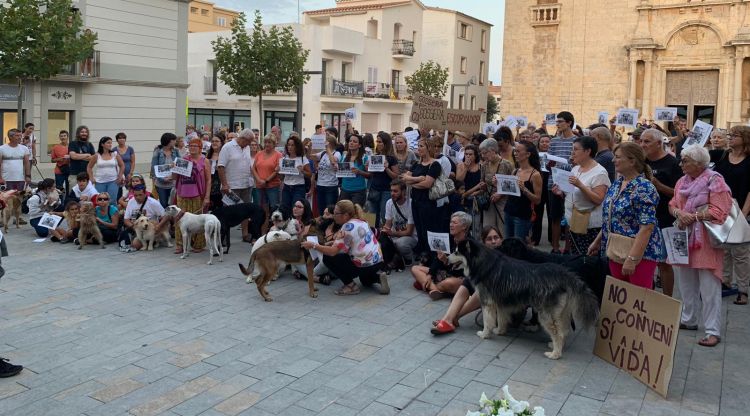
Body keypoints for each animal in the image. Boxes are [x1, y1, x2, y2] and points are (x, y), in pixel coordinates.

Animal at [450, 239, 604, 360]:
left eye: (456, 252)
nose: (447, 256)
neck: (481, 262)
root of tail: (565, 274)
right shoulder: (500, 302)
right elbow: (501, 318)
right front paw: (500, 331)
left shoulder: (487, 302)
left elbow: (488, 321)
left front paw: (485, 334)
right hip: (561, 313)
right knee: (564, 330)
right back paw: (556, 346)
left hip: (545, 315)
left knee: (558, 333)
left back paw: (555, 354)